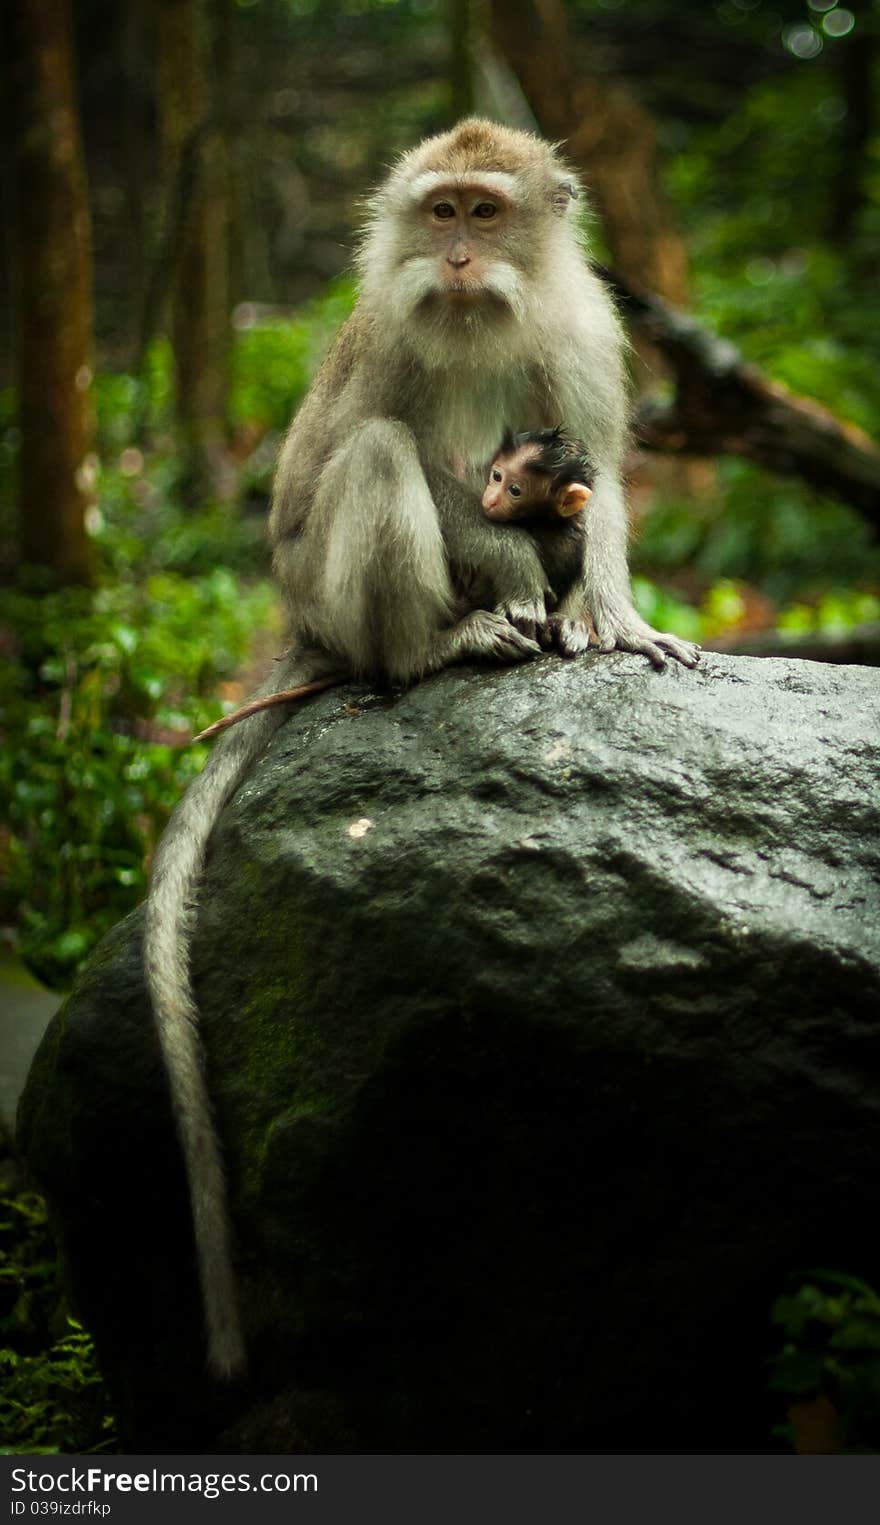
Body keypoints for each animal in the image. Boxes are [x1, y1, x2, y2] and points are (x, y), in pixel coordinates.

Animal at [144, 118, 695, 1384]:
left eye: (484, 213)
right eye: (438, 210)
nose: (452, 257)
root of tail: (306, 630)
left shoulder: (584, 331)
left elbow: (598, 469)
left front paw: (609, 607)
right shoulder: (385, 332)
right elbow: (365, 467)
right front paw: (511, 571)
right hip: (331, 598)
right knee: (379, 455)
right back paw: (437, 646)